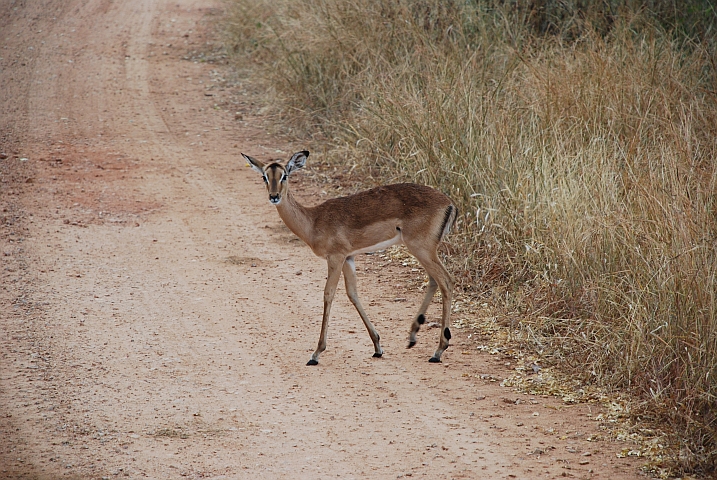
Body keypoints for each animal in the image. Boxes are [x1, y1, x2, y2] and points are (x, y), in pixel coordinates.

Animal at [242, 150, 456, 365]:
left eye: (285, 175)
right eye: (265, 176)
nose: (274, 196)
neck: (313, 221)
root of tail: (449, 203)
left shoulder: (336, 257)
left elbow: (328, 294)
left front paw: (316, 353)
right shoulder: (348, 258)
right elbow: (352, 294)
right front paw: (377, 347)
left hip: (421, 248)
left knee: (445, 281)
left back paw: (438, 351)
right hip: (423, 251)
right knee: (434, 281)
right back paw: (413, 336)